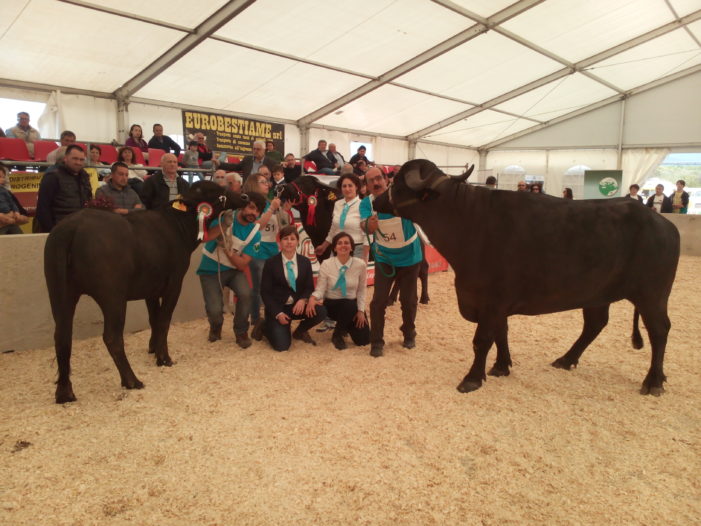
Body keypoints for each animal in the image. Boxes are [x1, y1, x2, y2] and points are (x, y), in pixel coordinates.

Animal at [44, 182, 249, 404]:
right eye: (214, 190)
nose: (245, 197)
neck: (178, 227)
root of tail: (72, 226)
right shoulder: (174, 283)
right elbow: (164, 320)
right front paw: (164, 358)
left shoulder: (150, 287)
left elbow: (154, 319)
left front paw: (152, 348)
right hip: (112, 295)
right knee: (111, 337)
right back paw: (131, 380)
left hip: (59, 292)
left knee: (62, 336)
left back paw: (64, 392)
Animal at [372, 159, 680, 398]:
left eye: (397, 182)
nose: (376, 200)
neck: (470, 222)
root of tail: (664, 224)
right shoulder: (494, 304)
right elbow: (501, 333)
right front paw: (501, 366)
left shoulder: (492, 301)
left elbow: (482, 339)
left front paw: (472, 378)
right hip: (597, 295)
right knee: (595, 324)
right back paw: (566, 359)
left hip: (653, 295)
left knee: (659, 330)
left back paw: (654, 380)